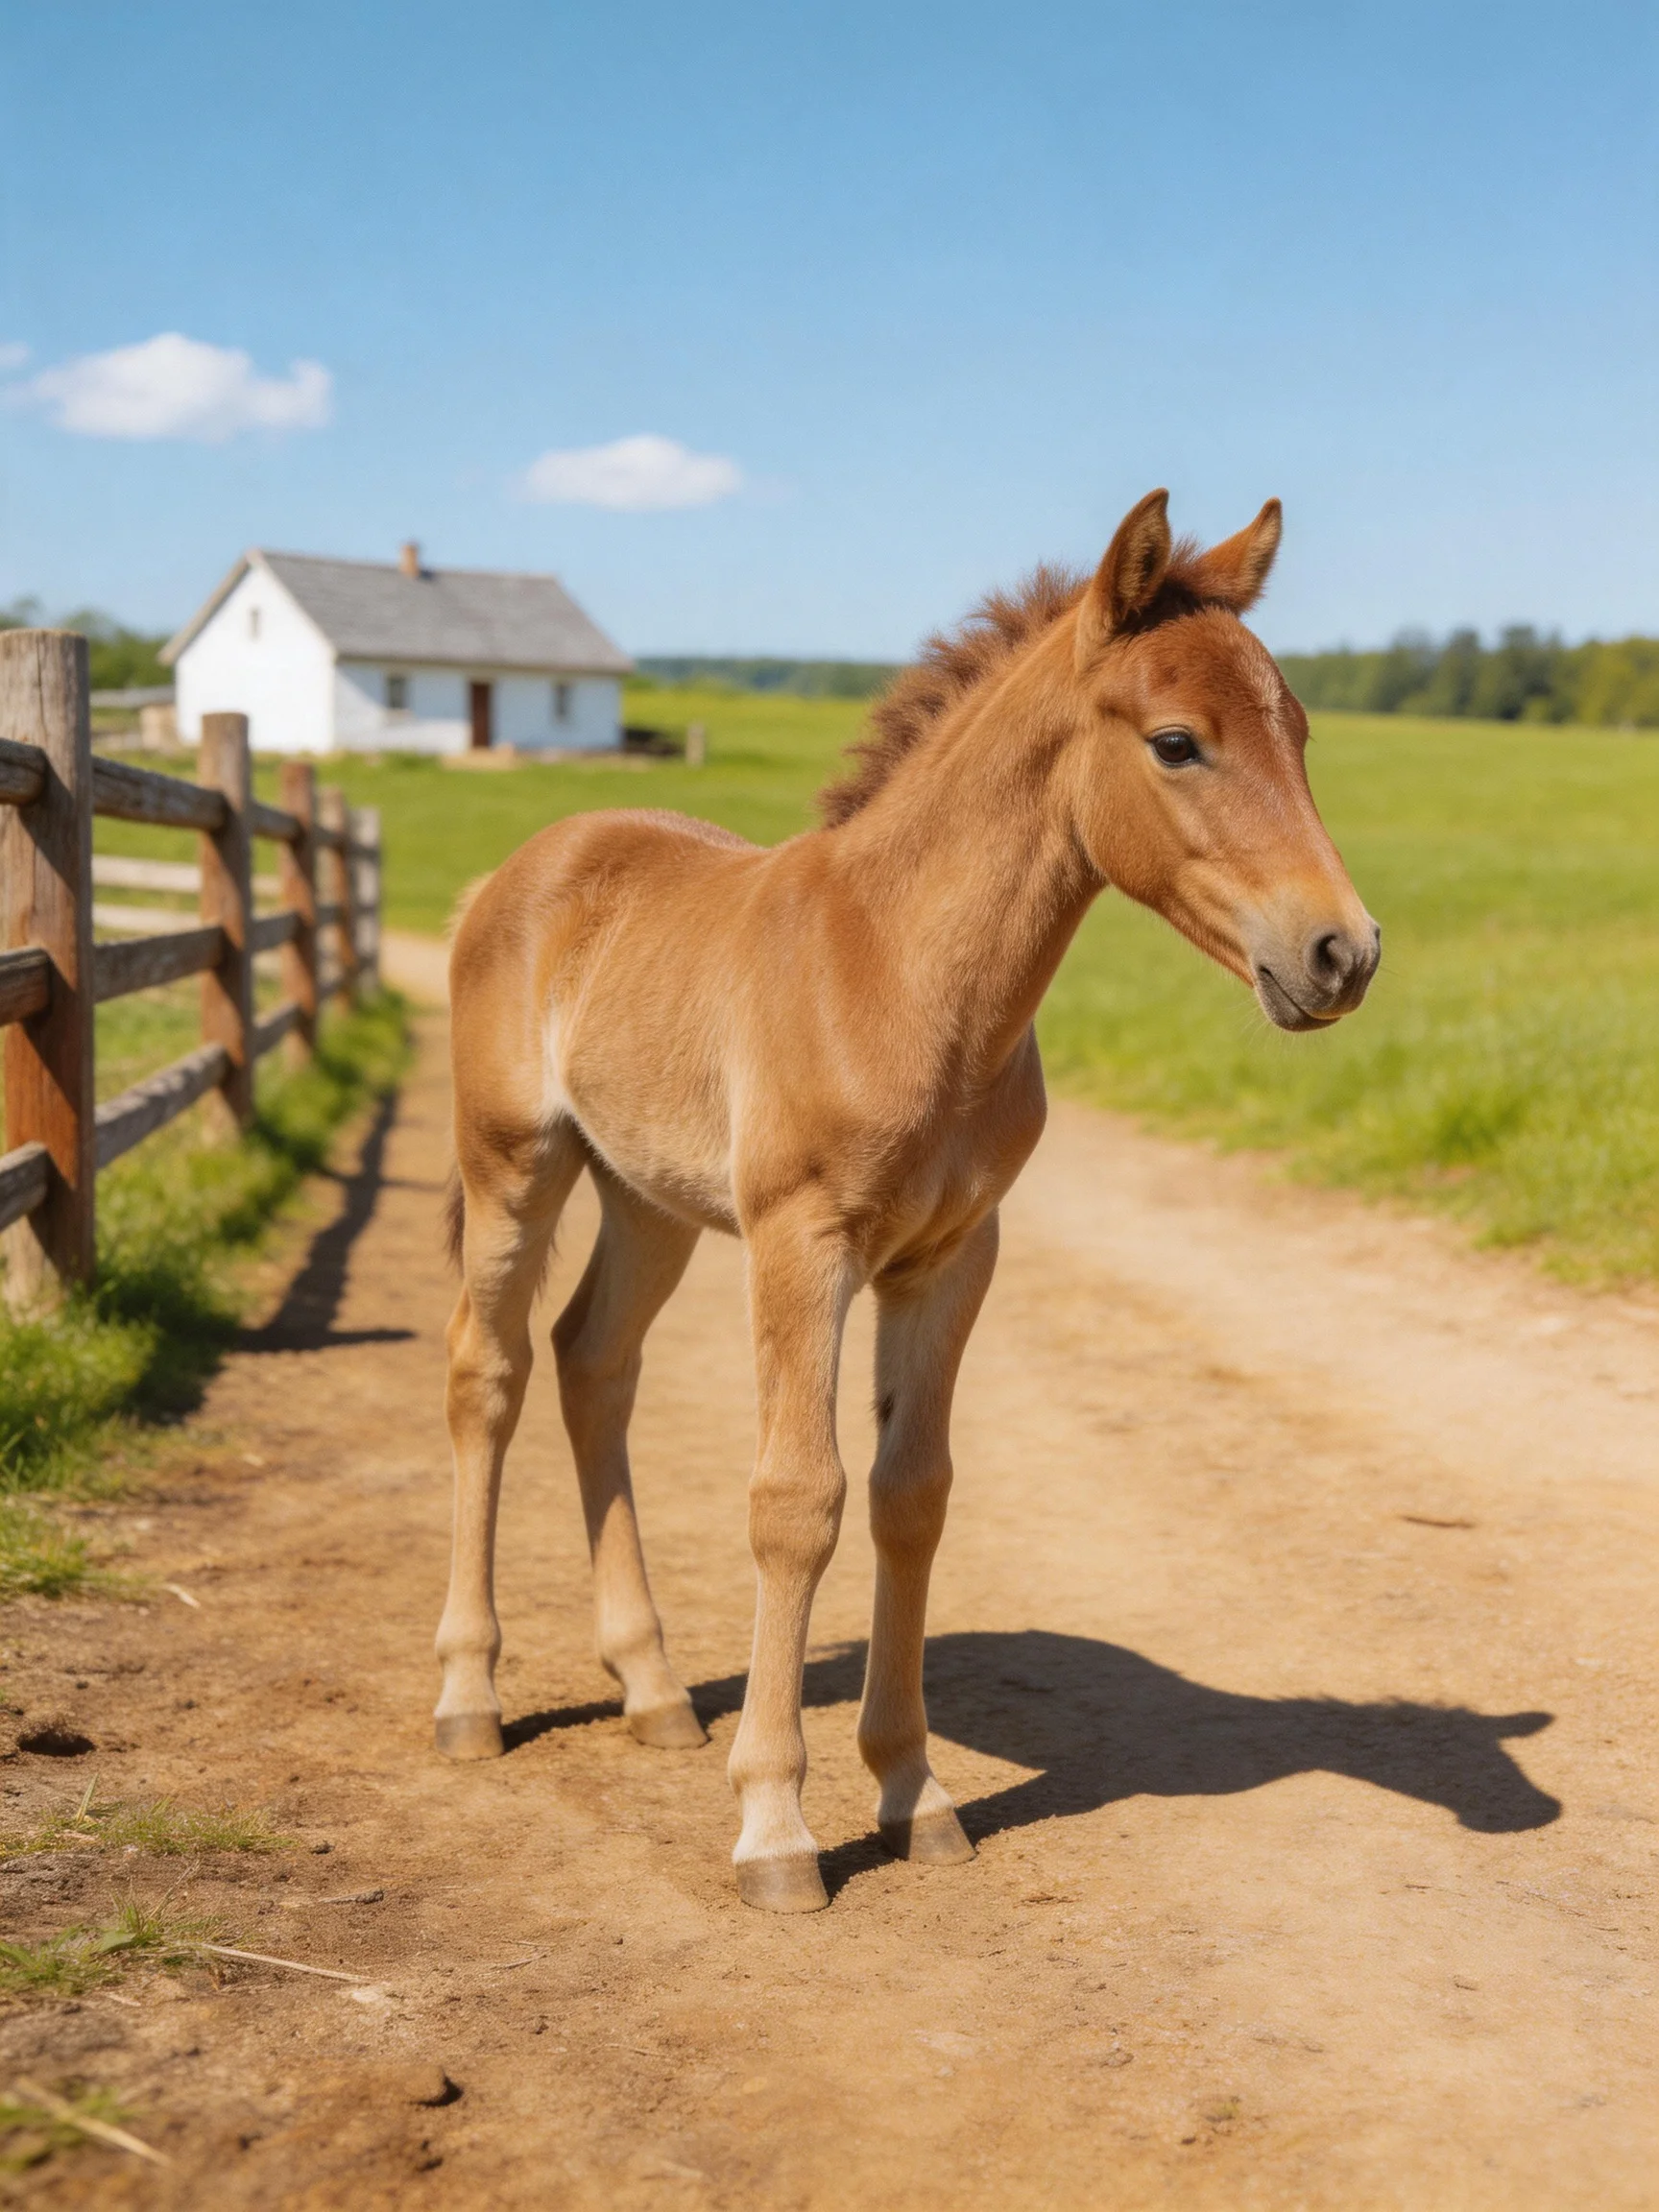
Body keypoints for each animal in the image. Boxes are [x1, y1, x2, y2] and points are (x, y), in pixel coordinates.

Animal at [436, 490, 1380, 1913]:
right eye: (1178, 743)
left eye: (1303, 733)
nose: (1343, 954)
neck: (899, 972)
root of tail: (518, 869)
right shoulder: (802, 1242)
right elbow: (798, 1500)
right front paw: (776, 1827)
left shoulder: (954, 1255)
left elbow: (909, 1495)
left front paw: (911, 1793)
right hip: (517, 1166)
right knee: (487, 1374)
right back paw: (469, 1697)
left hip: (648, 1198)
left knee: (592, 1362)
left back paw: (652, 1689)